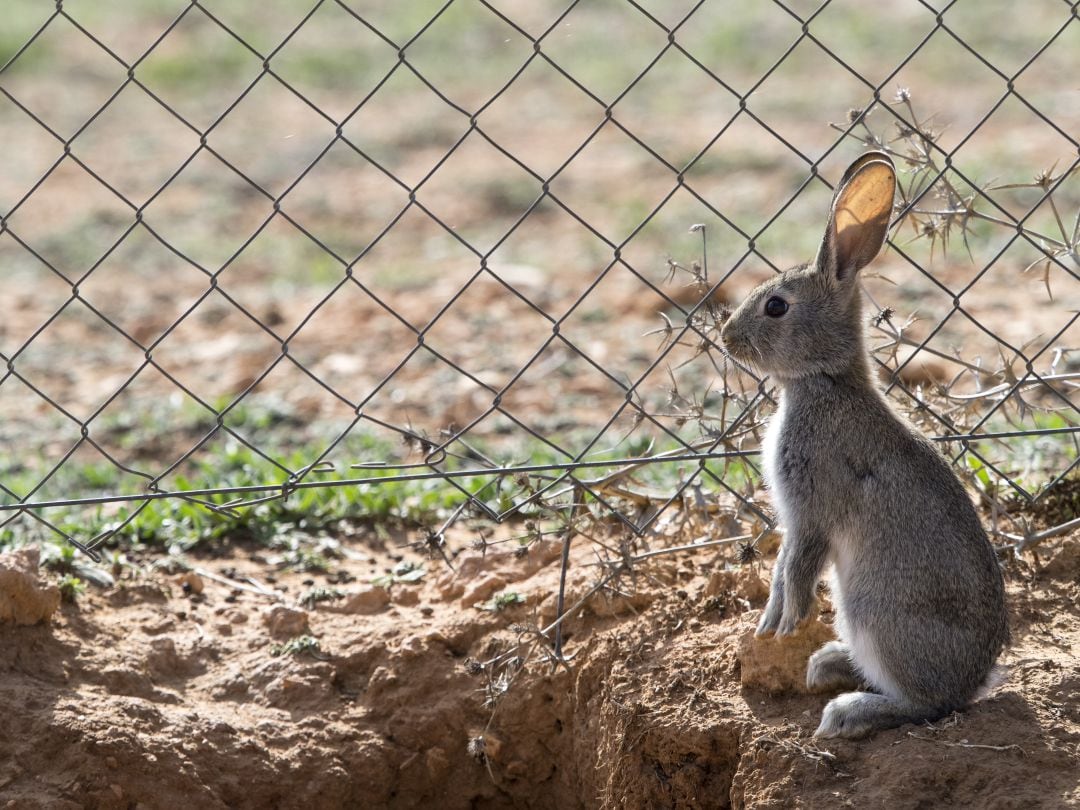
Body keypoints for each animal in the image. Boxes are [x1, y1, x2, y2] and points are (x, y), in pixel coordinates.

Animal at [721, 152, 1006, 743]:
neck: (824, 379)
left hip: (872, 611)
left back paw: (846, 711)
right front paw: (772, 624)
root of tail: (973, 682)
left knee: (925, 705)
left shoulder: (811, 508)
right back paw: (828, 663)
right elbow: (781, 567)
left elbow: (796, 566)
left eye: (776, 307)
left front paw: (785, 623)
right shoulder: (796, 516)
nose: (727, 337)